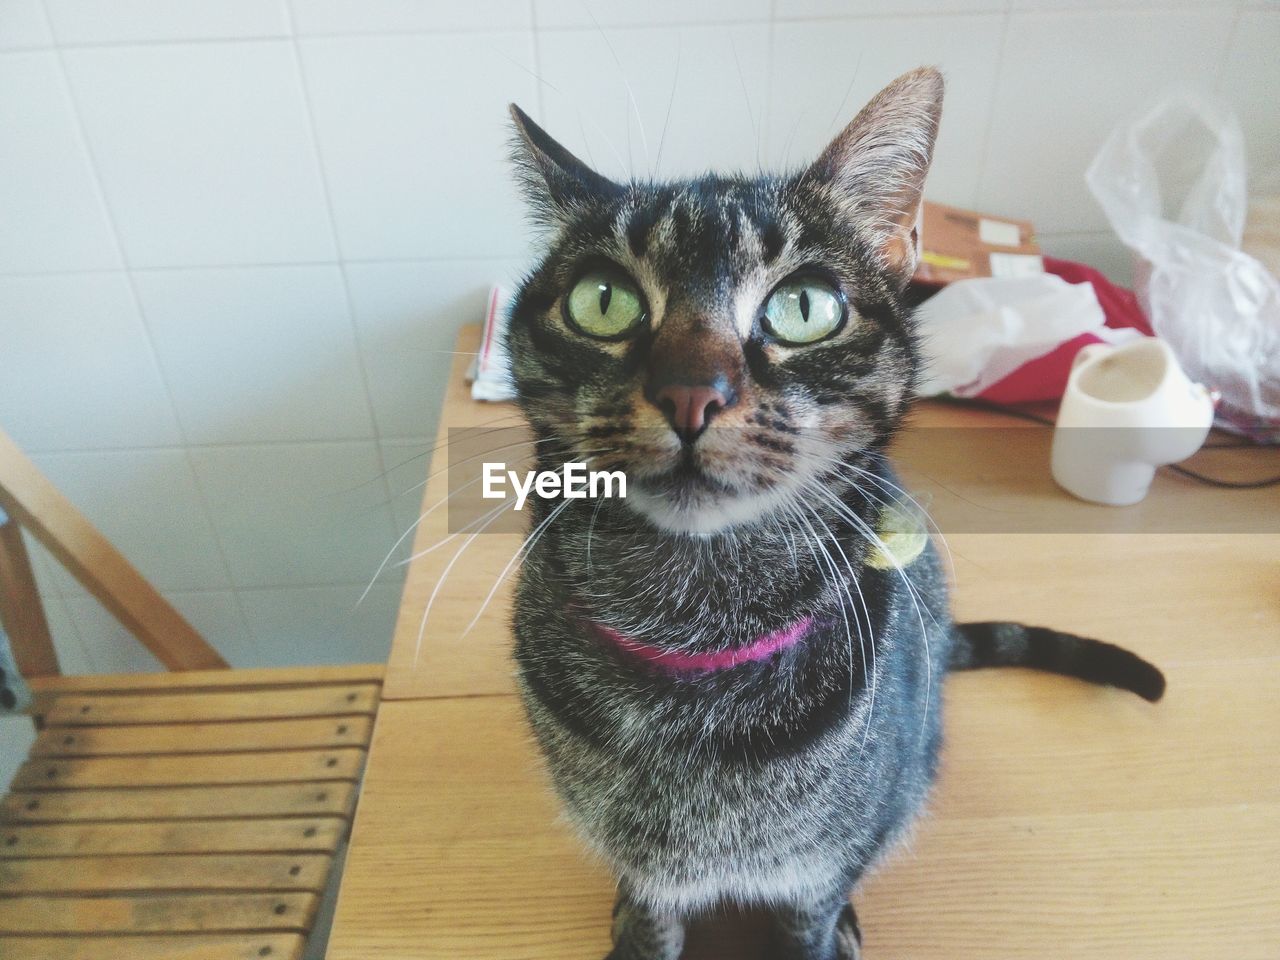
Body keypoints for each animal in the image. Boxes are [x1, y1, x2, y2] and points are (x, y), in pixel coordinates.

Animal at [499, 69, 1162, 960]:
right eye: (602, 302)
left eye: (804, 308)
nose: (690, 392)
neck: (696, 628)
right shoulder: (643, 868)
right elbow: (646, 920)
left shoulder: (816, 871)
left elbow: (811, 914)